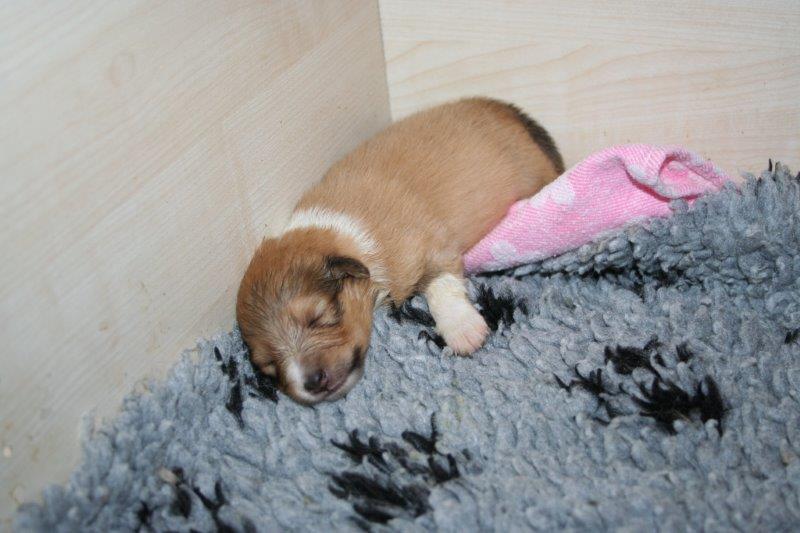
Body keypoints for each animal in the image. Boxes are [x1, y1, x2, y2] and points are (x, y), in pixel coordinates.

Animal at [236, 97, 564, 404]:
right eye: (267, 364)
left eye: (319, 318)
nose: (313, 382)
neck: (346, 234)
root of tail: (505, 109)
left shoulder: (430, 245)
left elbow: (440, 284)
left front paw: (462, 329)